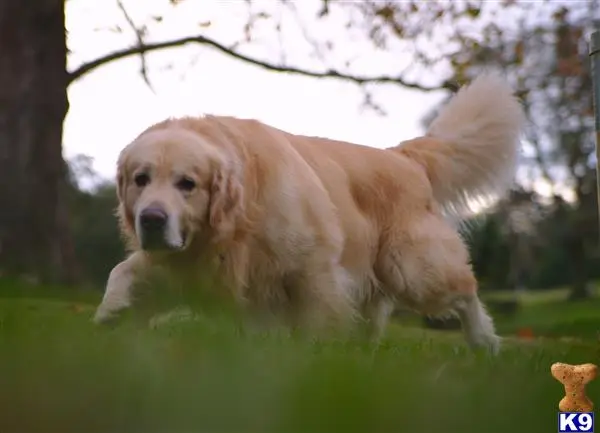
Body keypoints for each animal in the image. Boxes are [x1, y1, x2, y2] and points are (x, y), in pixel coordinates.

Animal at [95, 73, 524, 352]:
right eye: (141, 179)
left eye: (187, 183)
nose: (151, 220)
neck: (235, 224)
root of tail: (402, 156)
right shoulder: (185, 263)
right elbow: (123, 270)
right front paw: (110, 311)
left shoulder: (311, 266)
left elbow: (317, 319)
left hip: (411, 267)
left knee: (465, 291)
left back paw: (484, 342)